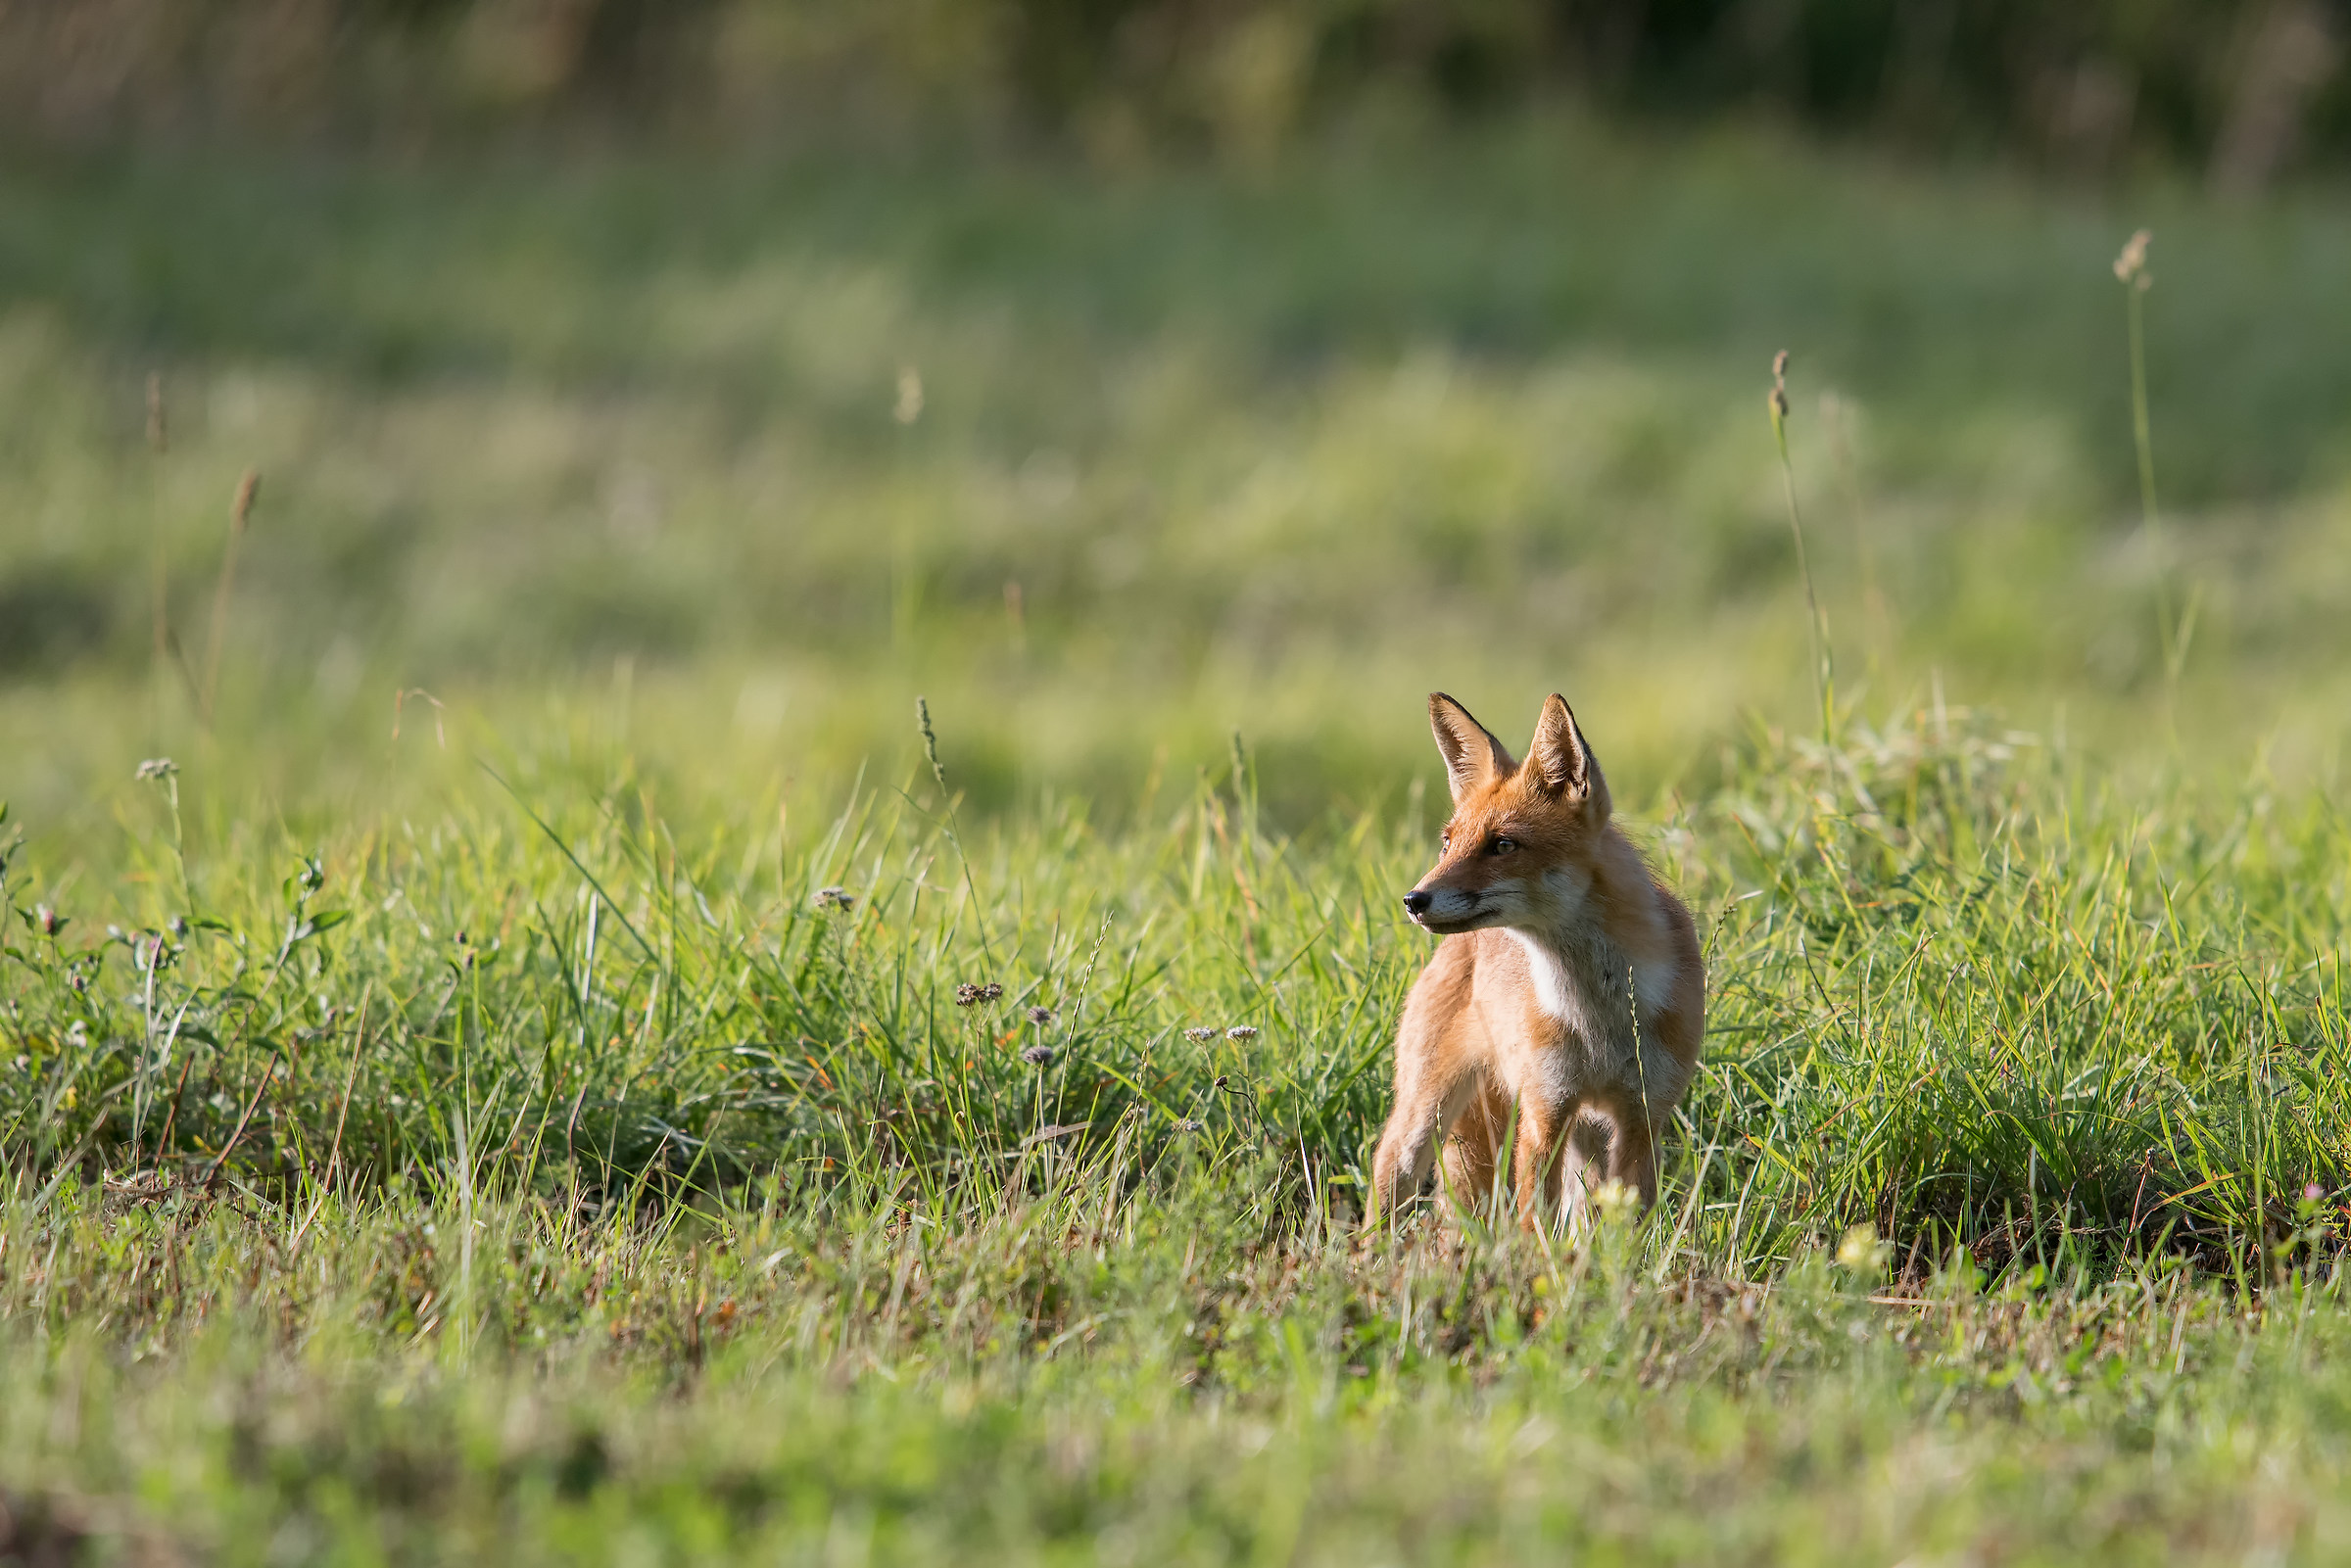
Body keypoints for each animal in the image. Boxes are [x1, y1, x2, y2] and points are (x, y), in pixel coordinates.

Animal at [1369, 692, 1704, 1233]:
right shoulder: (1545, 1110)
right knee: (1388, 1171)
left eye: (1503, 844)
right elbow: (1532, 1230)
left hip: (1586, 1138)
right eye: (1448, 843)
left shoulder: (1641, 1116)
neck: (1598, 1016)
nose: (1413, 900)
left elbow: (1624, 1231)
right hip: (1424, 1115)